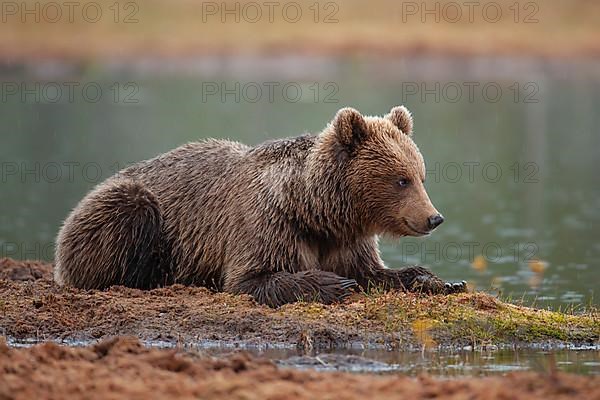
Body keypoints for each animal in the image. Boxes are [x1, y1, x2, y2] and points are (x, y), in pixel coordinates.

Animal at [54, 106, 466, 306]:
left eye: (420, 175)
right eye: (401, 180)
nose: (434, 217)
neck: (312, 209)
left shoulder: (345, 239)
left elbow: (372, 271)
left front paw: (439, 280)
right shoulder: (265, 222)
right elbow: (251, 279)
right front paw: (333, 284)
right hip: (129, 209)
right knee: (128, 217)